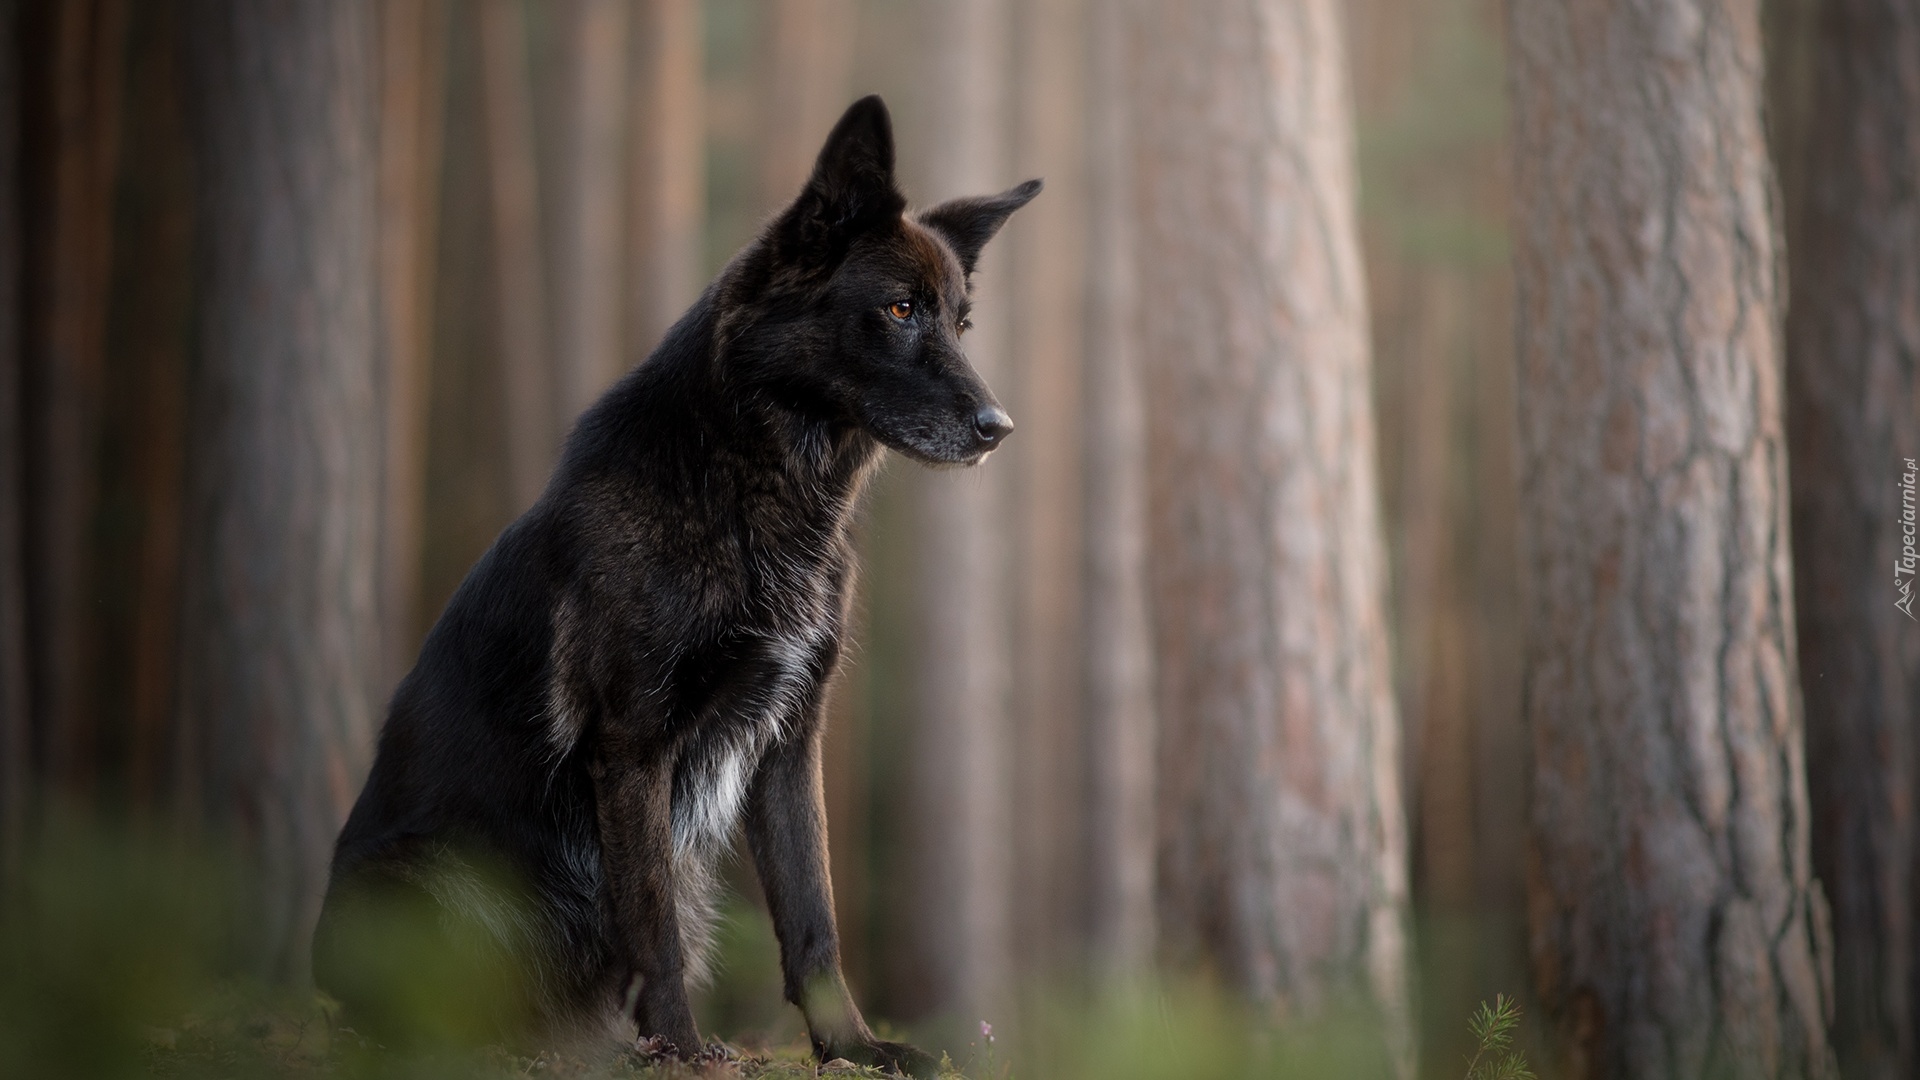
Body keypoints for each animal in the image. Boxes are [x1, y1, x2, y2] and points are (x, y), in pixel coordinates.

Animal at [311, 96, 1036, 1068]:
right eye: (898, 308)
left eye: (960, 325)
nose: (1000, 428)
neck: (753, 485)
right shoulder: (633, 743)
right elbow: (650, 917)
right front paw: (685, 1051)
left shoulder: (789, 739)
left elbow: (814, 917)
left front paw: (854, 1048)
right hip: (426, 877)